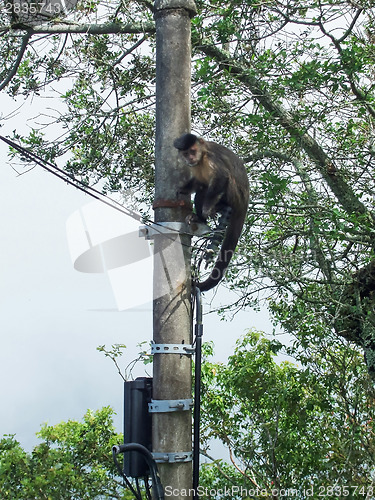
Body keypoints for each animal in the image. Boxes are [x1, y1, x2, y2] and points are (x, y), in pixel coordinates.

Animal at [174, 132, 250, 292]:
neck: (202, 156)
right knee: (202, 189)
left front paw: (207, 209)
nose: (190, 158)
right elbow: (198, 182)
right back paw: (199, 219)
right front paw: (183, 189)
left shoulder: (210, 158)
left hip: (234, 195)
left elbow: (221, 177)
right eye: (185, 153)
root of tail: (244, 201)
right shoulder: (194, 165)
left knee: (218, 184)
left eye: (193, 151)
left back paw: (217, 207)